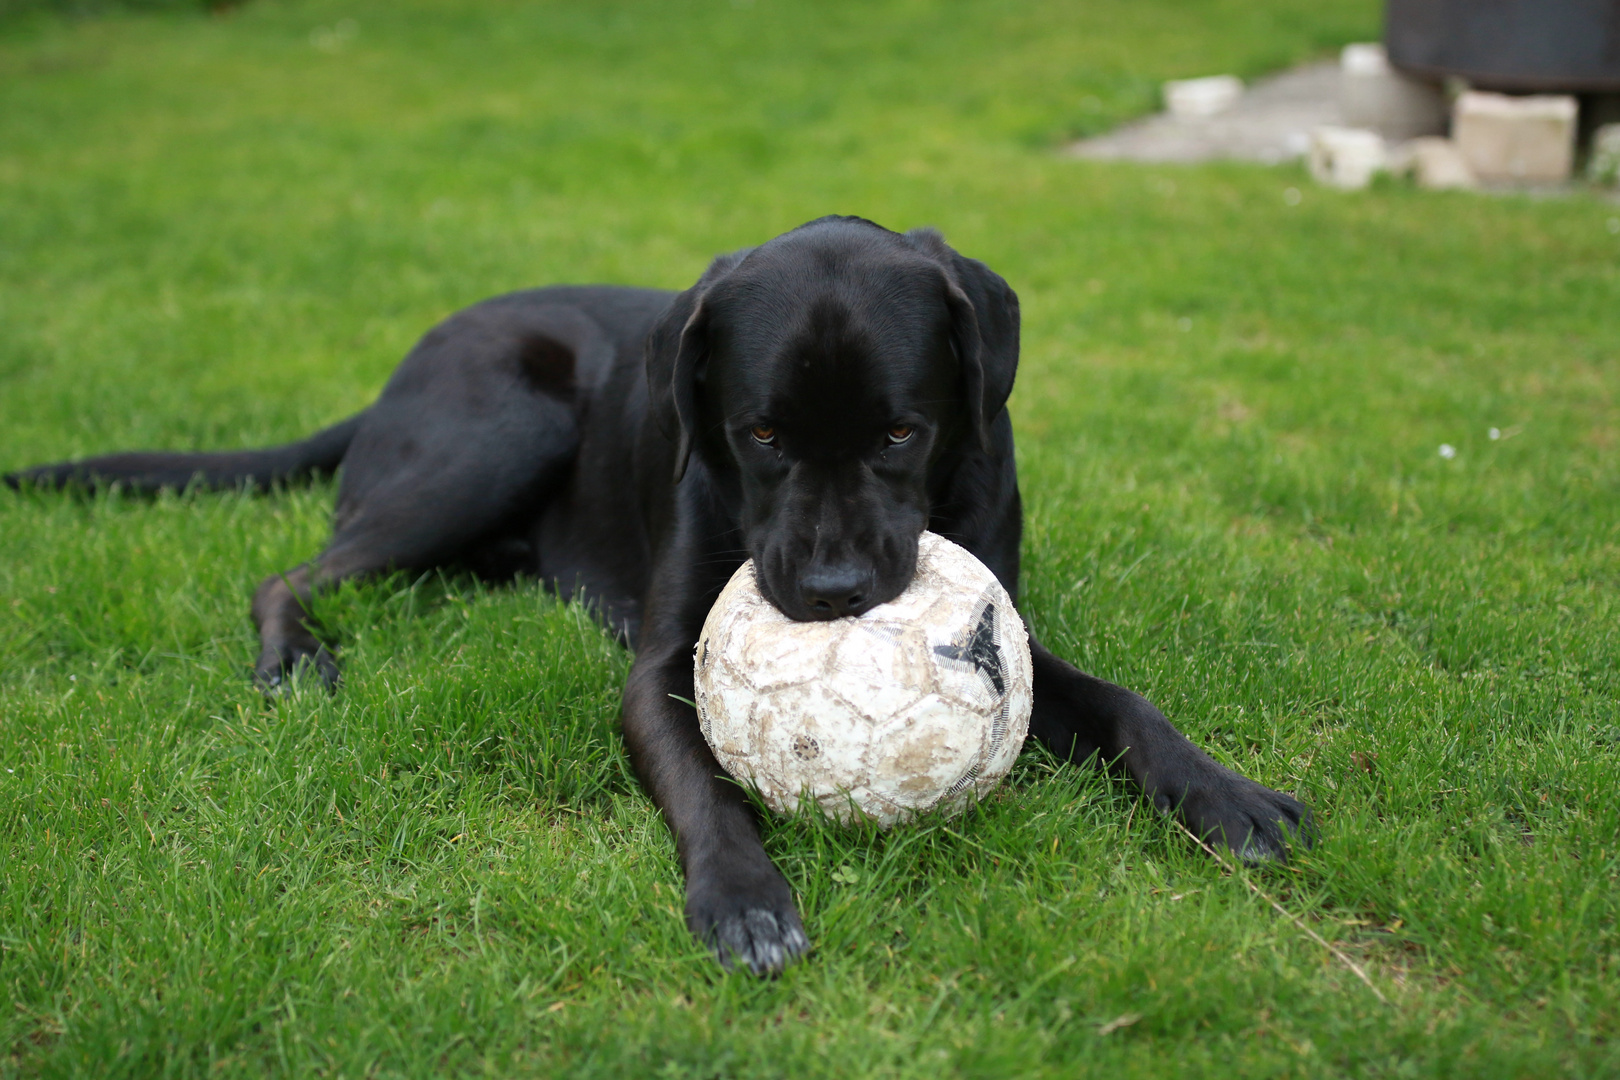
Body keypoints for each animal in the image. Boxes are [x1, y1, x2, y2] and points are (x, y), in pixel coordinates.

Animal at [6, 215, 1308, 977]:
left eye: (903, 430)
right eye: (759, 433)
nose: (833, 591)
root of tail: (401, 369)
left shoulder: (1020, 637)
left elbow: (1127, 704)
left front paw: (1227, 796)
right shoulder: (665, 666)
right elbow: (705, 786)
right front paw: (744, 900)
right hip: (489, 438)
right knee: (292, 571)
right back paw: (293, 660)